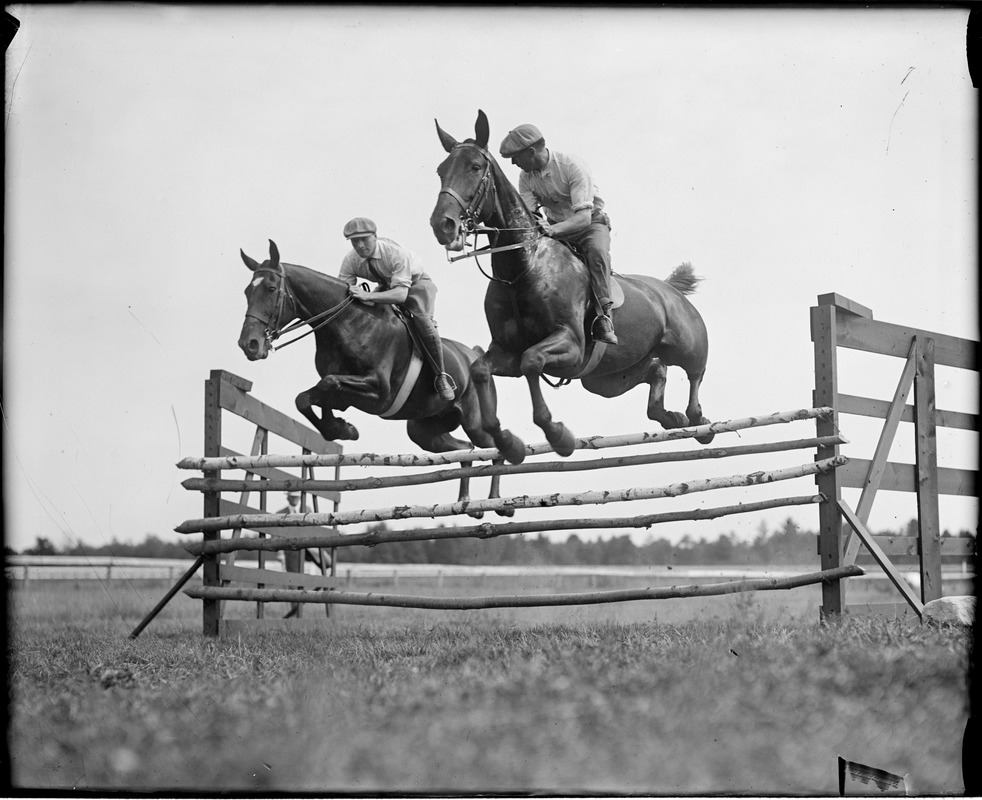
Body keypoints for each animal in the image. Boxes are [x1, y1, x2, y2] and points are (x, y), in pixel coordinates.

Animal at [237, 239, 520, 512]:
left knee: (493, 445)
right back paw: (466, 502)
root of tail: (474, 354)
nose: (249, 344)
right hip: (424, 431)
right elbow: (308, 398)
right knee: (465, 450)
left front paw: (342, 428)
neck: (348, 324)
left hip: (475, 422)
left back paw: (499, 501)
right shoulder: (344, 393)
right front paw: (340, 428)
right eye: (247, 291)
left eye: (271, 288)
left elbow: (329, 384)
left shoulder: (380, 392)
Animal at [430, 111, 716, 462]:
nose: (442, 224)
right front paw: (508, 442)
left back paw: (698, 420)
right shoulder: (506, 351)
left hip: (688, 346)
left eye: (474, 167)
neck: (524, 267)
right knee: (656, 371)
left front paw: (558, 435)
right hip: (605, 380)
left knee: (694, 374)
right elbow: (481, 369)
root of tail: (668, 288)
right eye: (441, 170)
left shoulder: (570, 343)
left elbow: (532, 362)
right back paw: (669, 416)